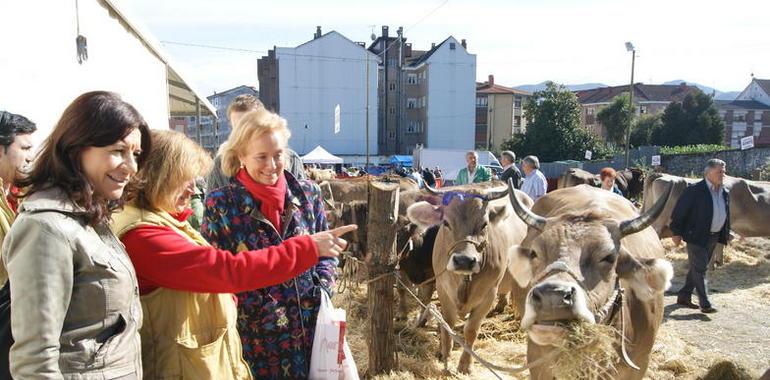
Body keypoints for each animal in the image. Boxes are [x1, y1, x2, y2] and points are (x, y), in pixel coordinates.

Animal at [404, 186, 532, 372]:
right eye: (446, 223)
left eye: (484, 224)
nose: (464, 260)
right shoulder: (443, 288)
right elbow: (447, 323)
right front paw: (444, 354)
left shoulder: (488, 295)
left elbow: (471, 329)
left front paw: (465, 364)